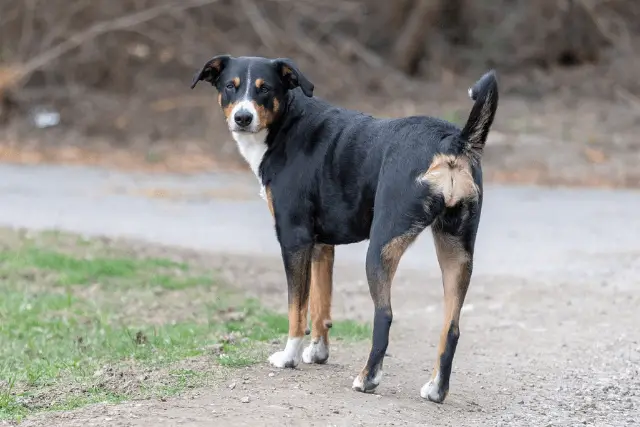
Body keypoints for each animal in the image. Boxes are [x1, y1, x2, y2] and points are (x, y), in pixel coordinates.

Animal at [191, 56, 500, 404]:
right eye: (231, 86)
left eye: (265, 88)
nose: (243, 117)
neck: (288, 124)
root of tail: (453, 141)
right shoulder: (320, 245)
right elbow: (319, 304)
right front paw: (318, 352)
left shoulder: (294, 239)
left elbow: (297, 309)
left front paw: (289, 357)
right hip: (456, 252)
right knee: (452, 327)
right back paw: (436, 389)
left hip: (380, 248)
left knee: (385, 315)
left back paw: (368, 379)